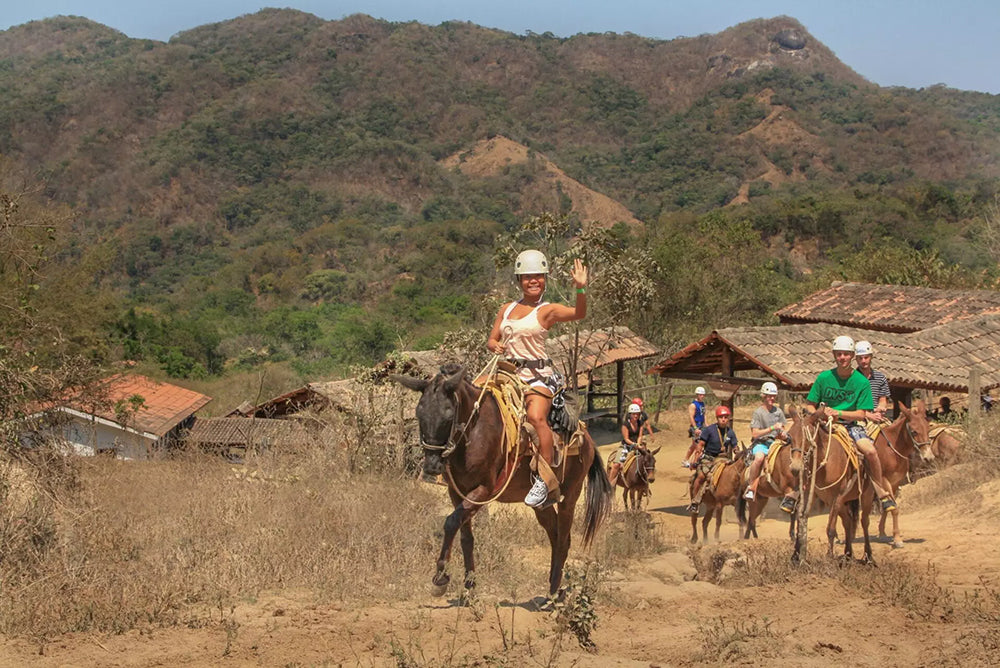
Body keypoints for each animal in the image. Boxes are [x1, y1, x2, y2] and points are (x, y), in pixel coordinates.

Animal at [394, 366, 612, 600]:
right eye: (419, 414)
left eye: (448, 415)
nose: (432, 467)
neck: (474, 431)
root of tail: (587, 438)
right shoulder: (457, 492)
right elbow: (465, 536)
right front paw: (469, 587)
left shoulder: (484, 490)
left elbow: (451, 522)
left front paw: (440, 578)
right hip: (541, 506)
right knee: (555, 536)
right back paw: (553, 587)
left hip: (570, 497)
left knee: (563, 539)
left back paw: (554, 594)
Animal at [872, 402, 932, 548]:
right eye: (914, 431)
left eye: (928, 430)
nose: (928, 457)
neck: (891, 448)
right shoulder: (884, 480)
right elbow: (894, 508)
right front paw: (897, 539)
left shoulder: (895, 482)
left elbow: (888, 507)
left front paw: (882, 533)